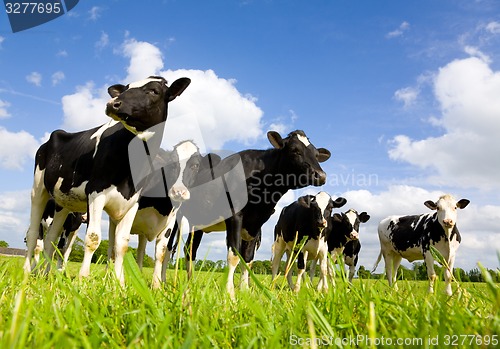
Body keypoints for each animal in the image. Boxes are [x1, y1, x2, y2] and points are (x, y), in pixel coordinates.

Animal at [23, 75, 191, 284]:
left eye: (154, 91)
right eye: (126, 88)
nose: (113, 103)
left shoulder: (132, 202)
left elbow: (121, 244)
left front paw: (119, 283)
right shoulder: (96, 194)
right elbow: (93, 238)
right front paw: (83, 279)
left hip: (63, 203)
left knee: (51, 239)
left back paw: (44, 275)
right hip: (39, 190)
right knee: (33, 234)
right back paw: (27, 272)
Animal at [164, 129, 330, 298]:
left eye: (316, 154)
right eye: (295, 150)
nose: (321, 175)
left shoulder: (256, 224)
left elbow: (248, 257)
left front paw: (244, 290)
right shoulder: (235, 215)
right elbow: (234, 255)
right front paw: (230, 292)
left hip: (199, 222)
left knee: (190, 250)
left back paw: (190, 282)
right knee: (171, 248)